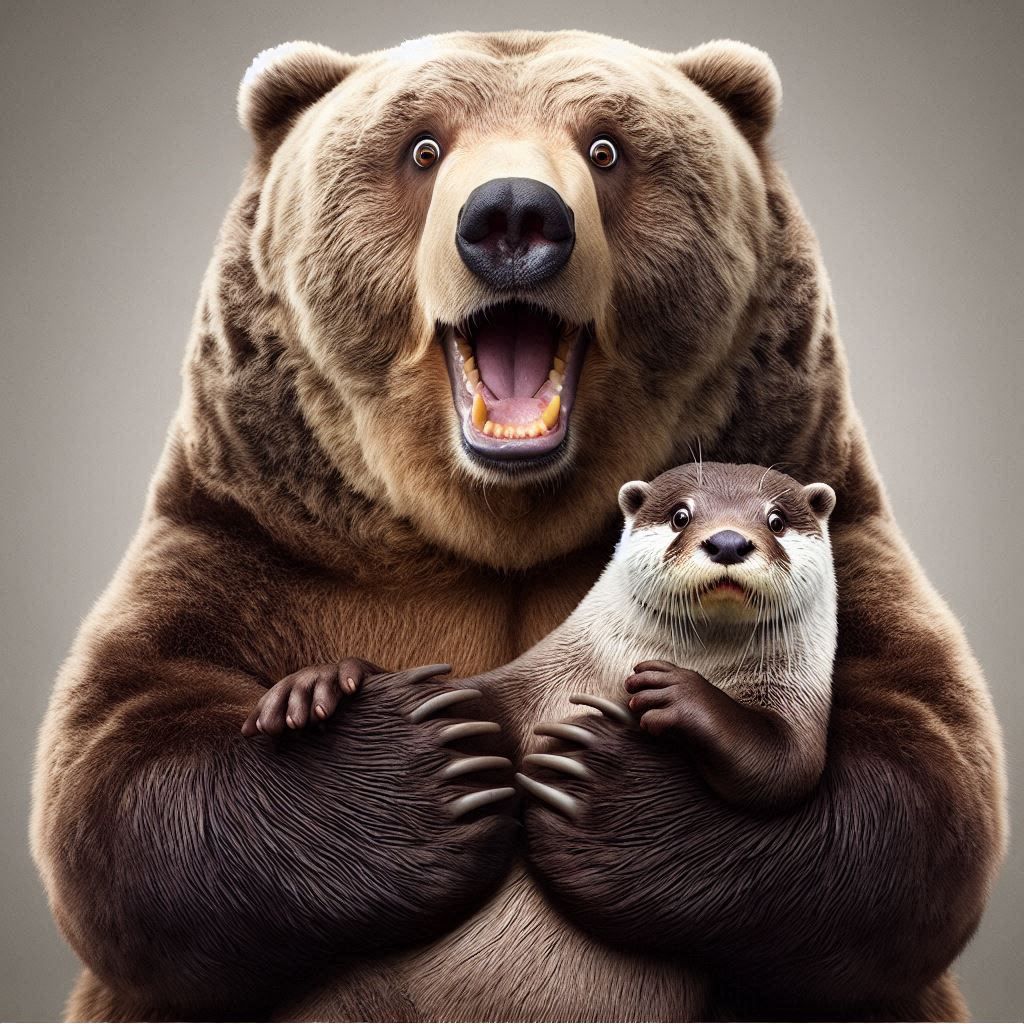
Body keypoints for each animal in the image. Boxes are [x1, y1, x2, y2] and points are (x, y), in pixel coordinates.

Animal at [29, 29, 1006, 1022]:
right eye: (422, 146)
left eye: (606, 147)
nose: (511, 215)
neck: (499, 532)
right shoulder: (252, 536)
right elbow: (118, 774)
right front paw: (404, 753)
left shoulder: (835, 511)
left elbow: (921, 782)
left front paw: (609, 789)